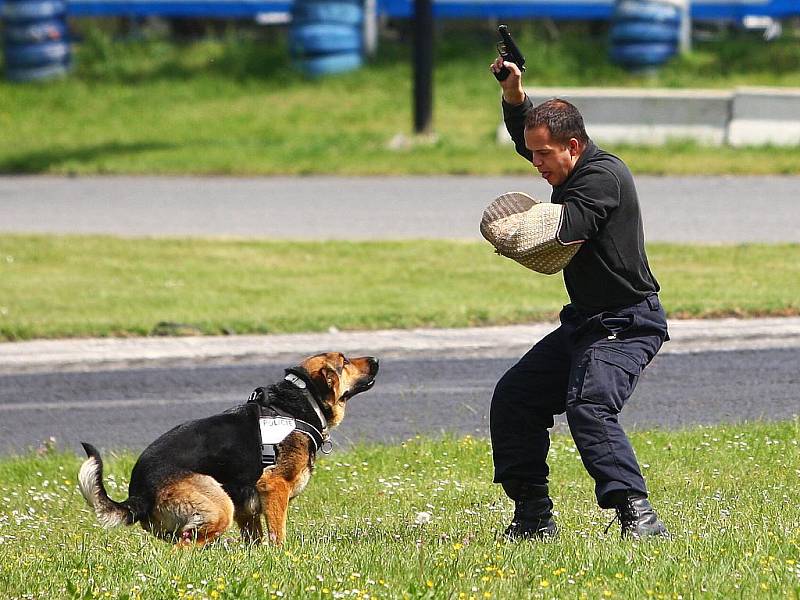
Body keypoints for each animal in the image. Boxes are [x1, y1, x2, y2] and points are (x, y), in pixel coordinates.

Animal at [79, 354, 380, 548]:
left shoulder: (248, 508)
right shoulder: (273, 488)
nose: (377, 360)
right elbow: (278, 536)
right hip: (219, 505)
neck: (304, 400)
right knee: (184, 548)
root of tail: (138, 493)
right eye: (345, 362)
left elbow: (255, 540)